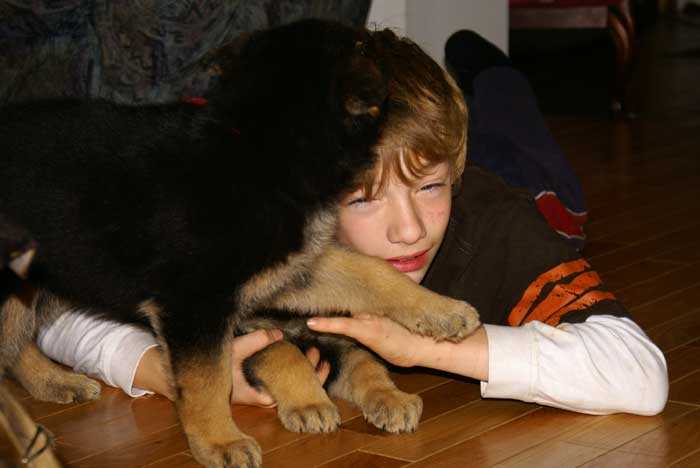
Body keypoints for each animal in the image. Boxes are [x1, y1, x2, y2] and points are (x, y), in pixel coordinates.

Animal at [0, 20, 482, 466]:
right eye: (363, 47)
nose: (391, 47)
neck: (261, 152)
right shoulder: (201, 308)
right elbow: (226, 373)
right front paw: (225, 439)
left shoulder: (290, 273)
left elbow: (371, 283)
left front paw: (437, 319)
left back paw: (54, 385)